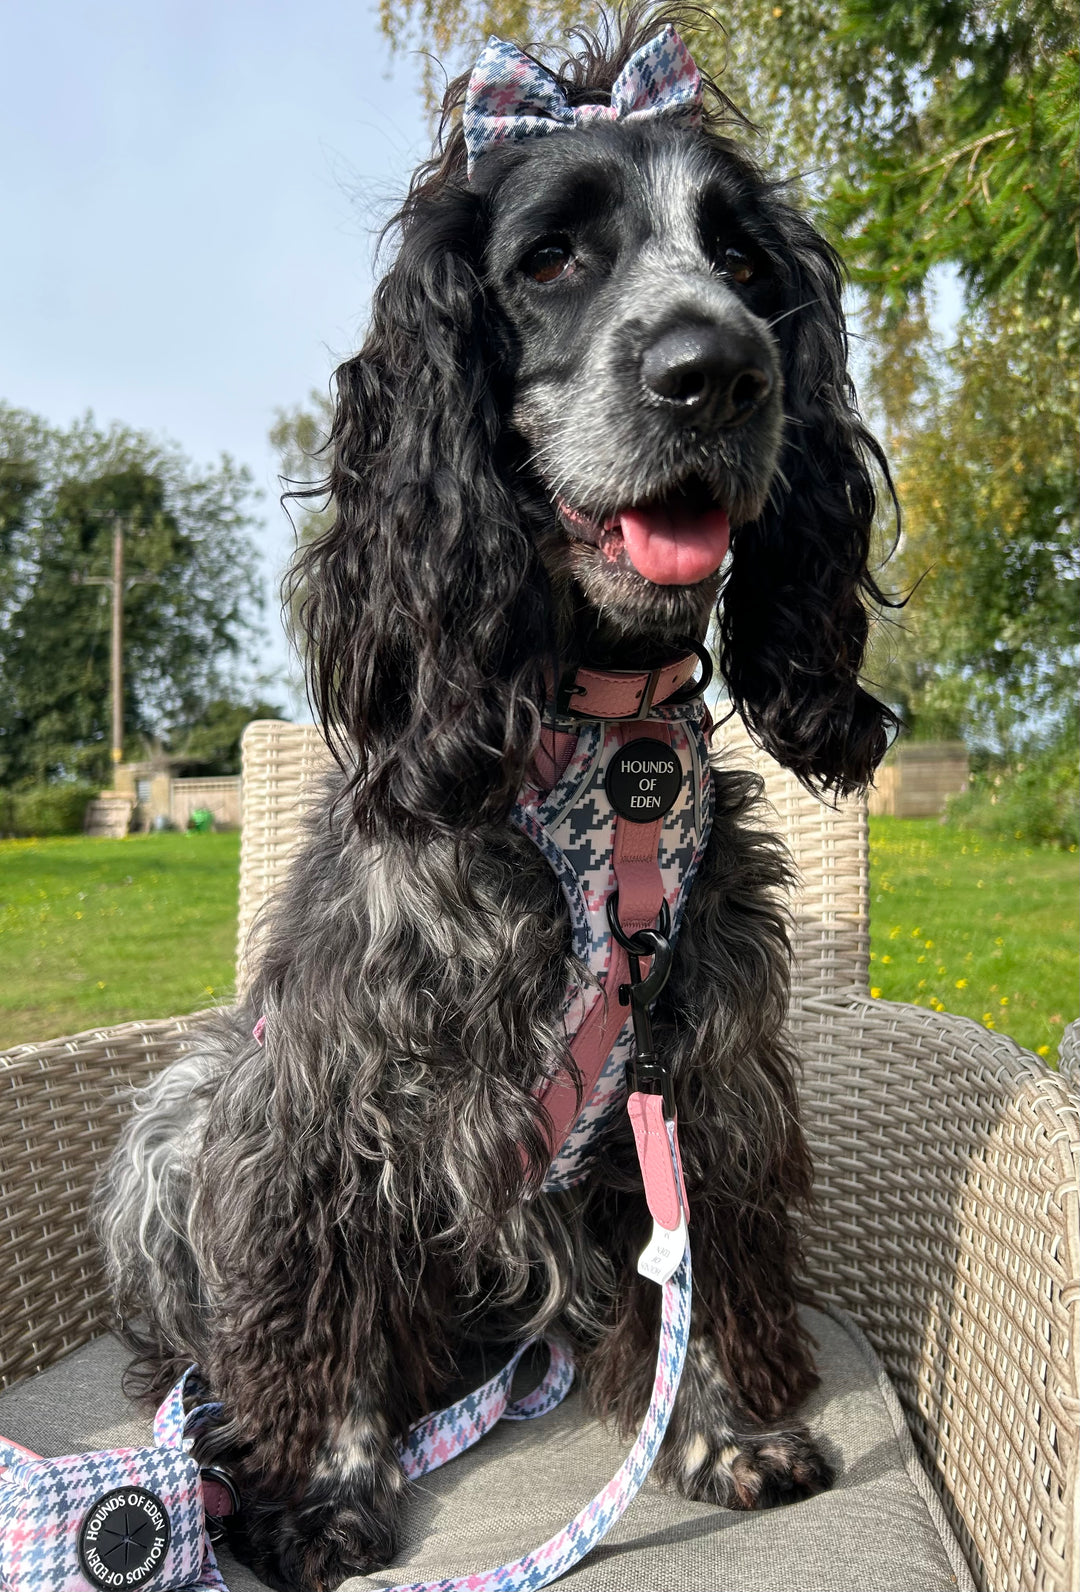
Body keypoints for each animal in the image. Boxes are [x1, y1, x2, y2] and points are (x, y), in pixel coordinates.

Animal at [99, 12, 898, 1592]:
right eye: (552, 260)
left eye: (745, 263)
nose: (718, 370)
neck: (593, 742)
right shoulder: (319, 1098)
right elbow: (323, 1303)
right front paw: (314, 1490)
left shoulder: (699, 1072)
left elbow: (698, 1258)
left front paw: (728, 1430)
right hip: (178, 1116)